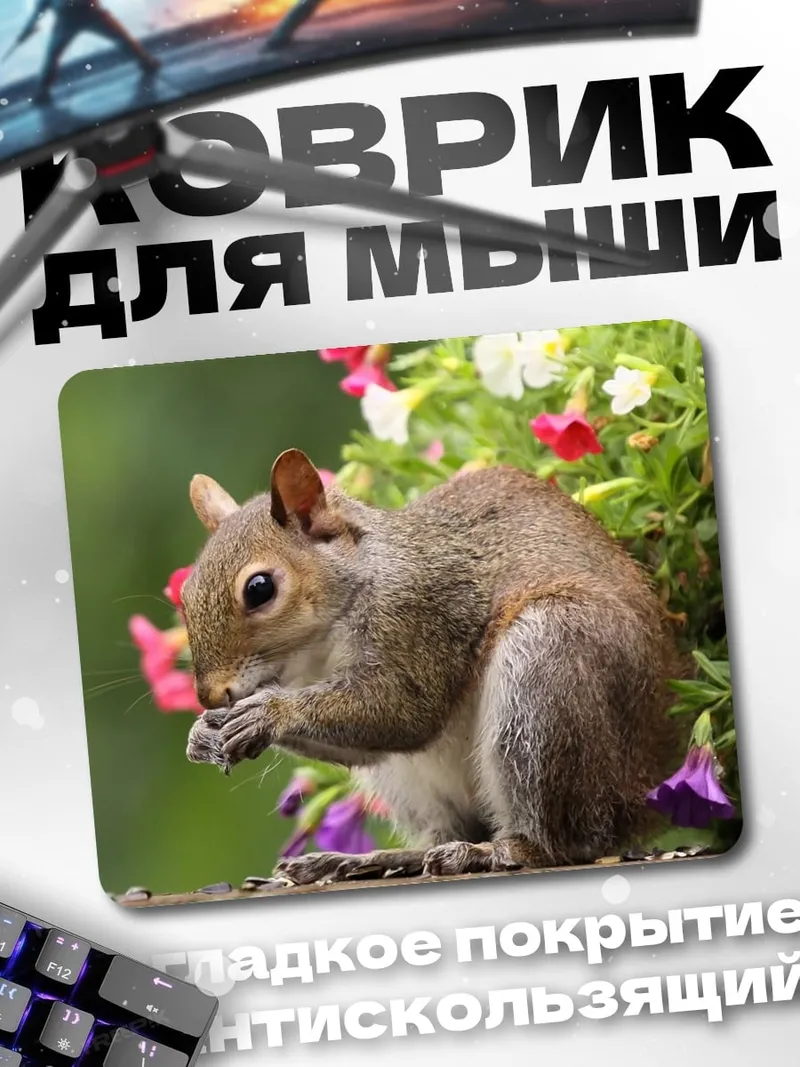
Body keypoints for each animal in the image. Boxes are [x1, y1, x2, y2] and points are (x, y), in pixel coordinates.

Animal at [182, 448, 686, 884]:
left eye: (260, 589)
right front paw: (203, 732)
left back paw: (493, 852)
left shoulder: (423, 614)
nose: (209, 694)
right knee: (444, 832)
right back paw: (370, 860)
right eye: (185, 594)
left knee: (568, 841)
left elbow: (406, 712)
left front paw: (270, 713)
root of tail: (641, 788)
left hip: (547, 670)